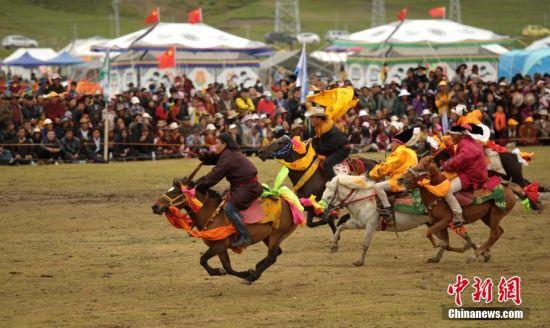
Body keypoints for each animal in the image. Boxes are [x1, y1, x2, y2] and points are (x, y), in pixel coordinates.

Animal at [151, 168, 300, 284]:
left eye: (175, 192)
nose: (155, 206)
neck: (212, 213)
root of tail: (290, 203)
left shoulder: (220, 245)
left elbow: (203, 259)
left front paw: (220, 271)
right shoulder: (220, 248)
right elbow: (227, 267)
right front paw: (244, 272)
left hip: (276, 234)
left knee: (272, 256)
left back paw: (252, 277)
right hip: (267, 237)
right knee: (276, 253)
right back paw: (256, 268)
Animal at [322, 176, 476, 266]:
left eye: (329, 196)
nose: (323, 213)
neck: (365, 199)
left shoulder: (370, 226)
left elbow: (365, 244)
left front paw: (359, 261)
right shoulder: (358, 223)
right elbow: (341, 227)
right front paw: (333, 246)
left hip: (447, 222)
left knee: (464, 236)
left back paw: (475, 253)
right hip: (434, 224)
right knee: (446, 241)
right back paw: (437, 258)